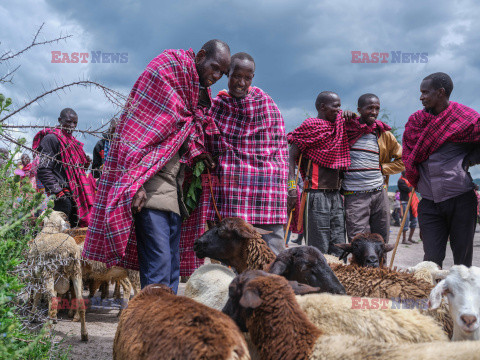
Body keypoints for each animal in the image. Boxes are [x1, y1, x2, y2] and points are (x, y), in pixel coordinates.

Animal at [28, 212, 88, 342]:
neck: (50, 230)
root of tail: (68, 251)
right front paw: (54, 319)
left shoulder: (35, 274)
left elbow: (36, 296)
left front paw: (32, 316)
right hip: (77, 272)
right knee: (80, 301)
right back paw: (84, 334)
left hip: (49, 273)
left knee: (53, 301)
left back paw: (45, 333)